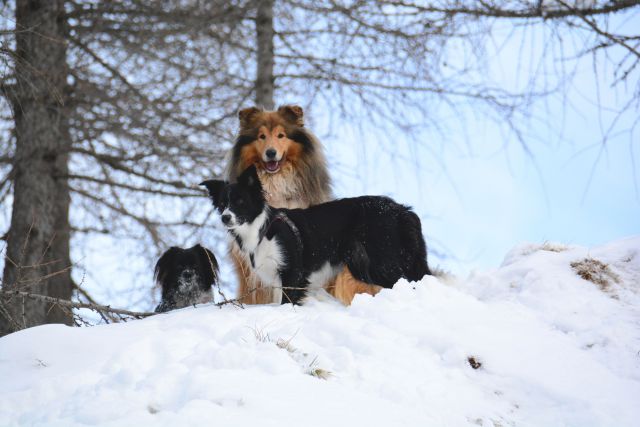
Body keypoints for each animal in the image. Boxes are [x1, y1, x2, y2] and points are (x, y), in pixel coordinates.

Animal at [200, 166, 430, 304]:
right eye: (222, 204)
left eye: (240, 202)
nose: (225, 218)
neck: (261, 229)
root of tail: (402, 211)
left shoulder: (293, 272)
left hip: (381, 260)